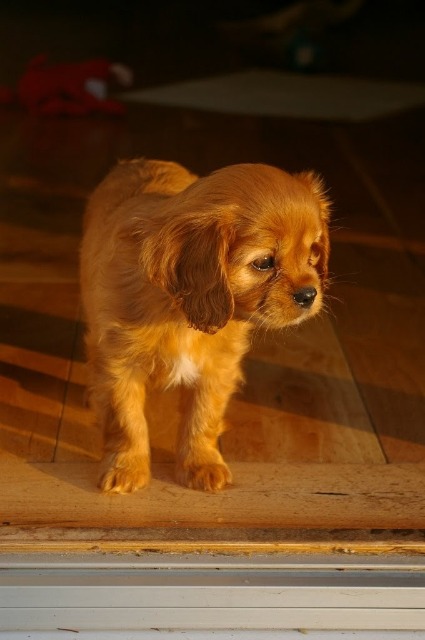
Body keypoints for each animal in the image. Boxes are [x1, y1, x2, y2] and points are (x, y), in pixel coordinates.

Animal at [80, 158, 330, 494]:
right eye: (264, 262)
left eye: (314, 252)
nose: (309, 294)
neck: (178, 316)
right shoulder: (119, 365)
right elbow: (126, 419)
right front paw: (126, 467)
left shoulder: (217, 368)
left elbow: (202, 416)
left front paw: (201, 464)